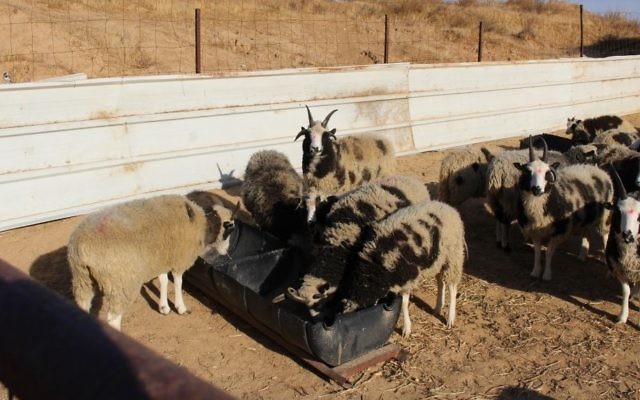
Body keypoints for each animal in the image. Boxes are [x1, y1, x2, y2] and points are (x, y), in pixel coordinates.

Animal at [68, 195, 239, 331]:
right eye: (230, 230)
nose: (226, 252)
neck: (204, 226)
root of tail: (83, 245)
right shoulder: (179, 259)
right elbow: (178, 282)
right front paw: (181, 308)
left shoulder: (160, 258)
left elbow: (163, 280)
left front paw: (164, 307)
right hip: (121, 282)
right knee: (113, 319)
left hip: (82, 278)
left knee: (83, 303)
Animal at [321, 200, 466, 336]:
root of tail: (449, 207)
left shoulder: (406, 277)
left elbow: (404, 303)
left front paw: (406, 328)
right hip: (440, 259)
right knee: (441, 282)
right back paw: (438, 307)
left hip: (453, 256)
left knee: (452, 287)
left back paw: (450, 318)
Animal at [514, 138, 613, 281]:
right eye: (527, 172)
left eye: (548, 173)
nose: (537, 189)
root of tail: (598, 170)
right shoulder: (535, 231)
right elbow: (537, 252)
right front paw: (535, 271)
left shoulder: (559, 231)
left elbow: (548, 253)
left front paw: (547, 275)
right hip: (585, 218)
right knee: (586, 233)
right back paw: (582, 255)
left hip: (604, 217)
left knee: (605, 237)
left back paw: (608, 268)